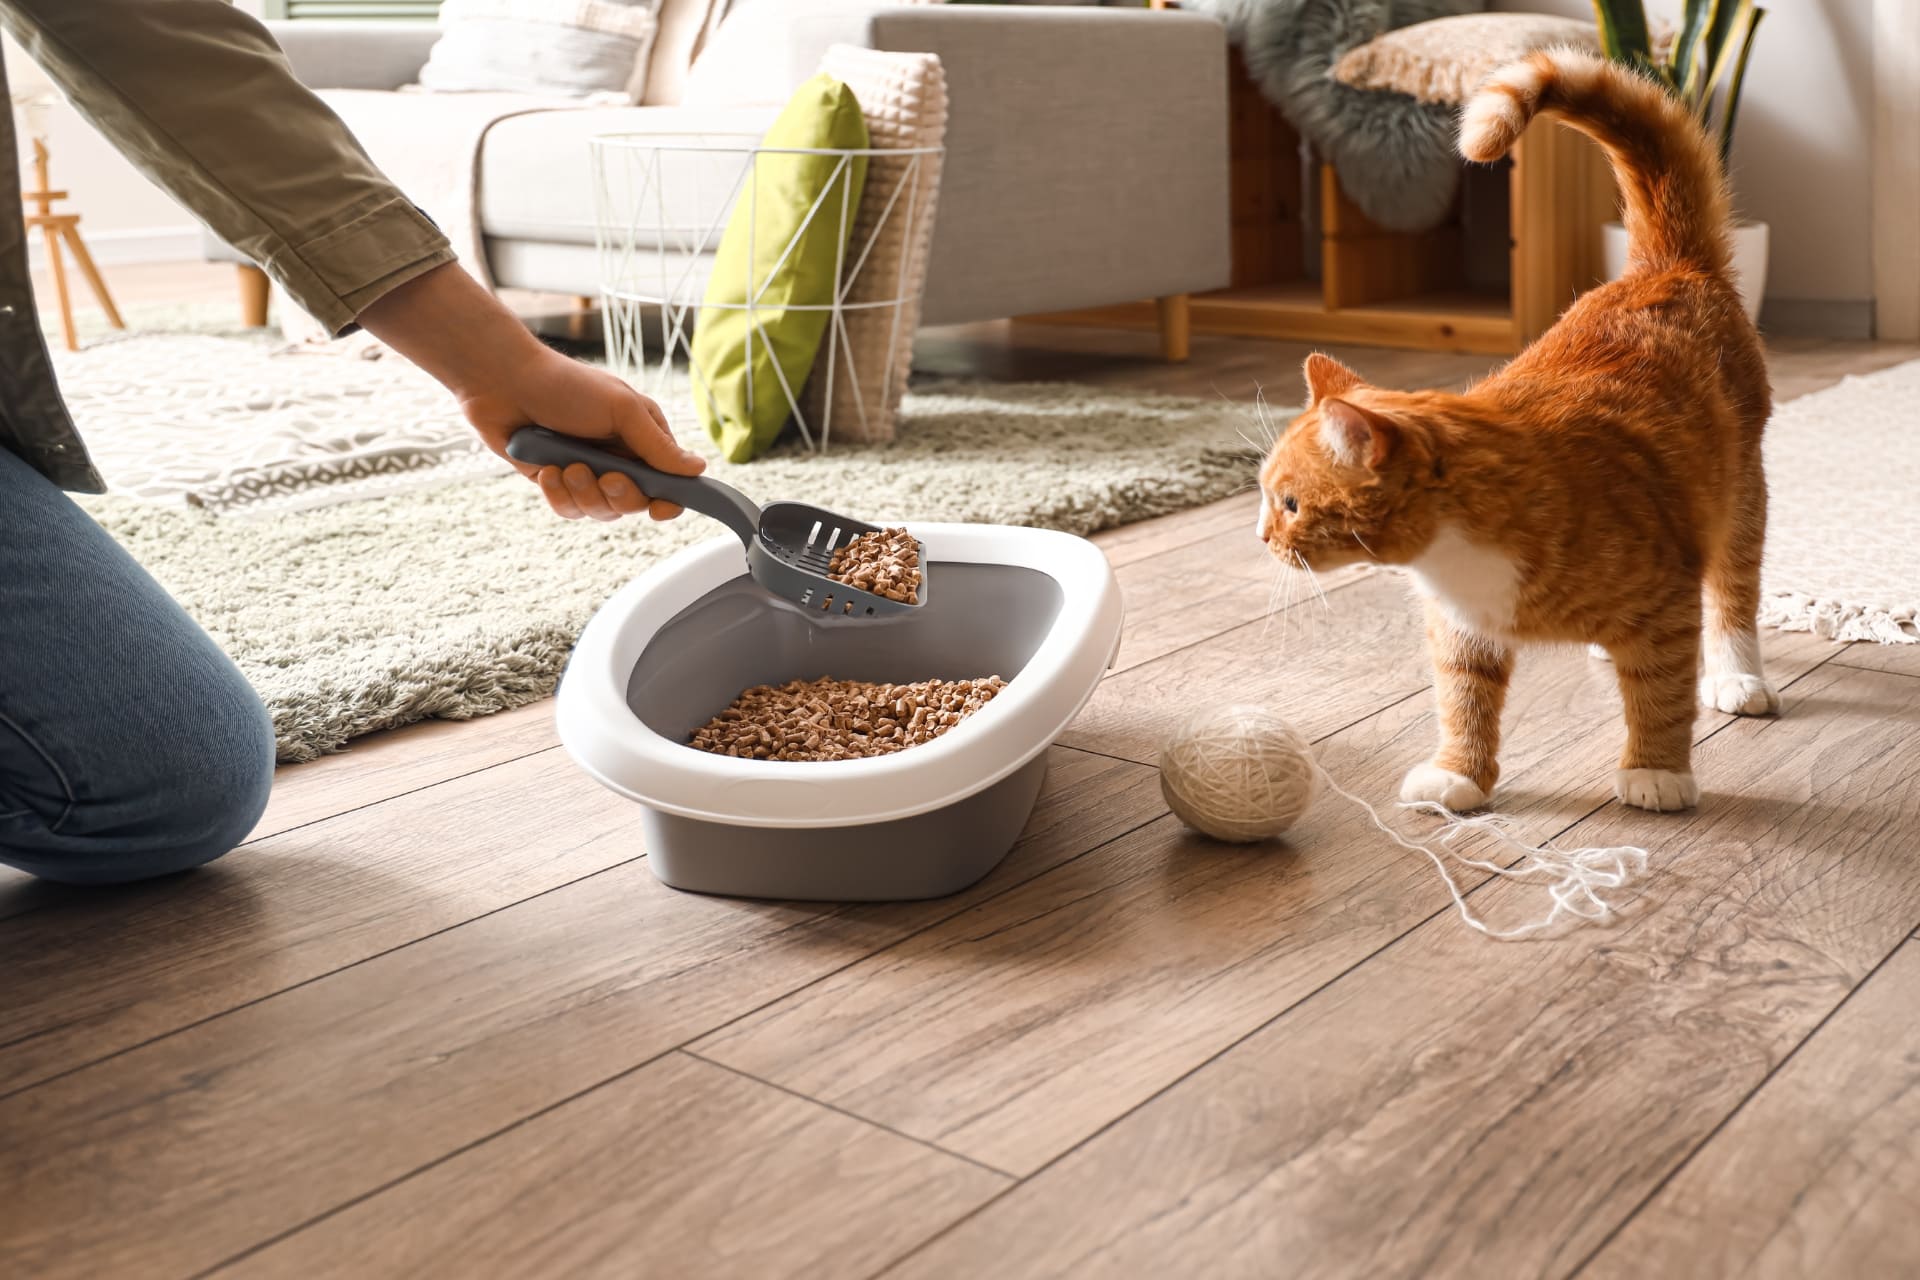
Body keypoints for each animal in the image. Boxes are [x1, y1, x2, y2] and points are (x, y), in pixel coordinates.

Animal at [1259, 52, 1766, 809]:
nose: (1262, 538)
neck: (1452, 555)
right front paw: (1458, 775)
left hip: (1740, 497)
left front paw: (1656, 772)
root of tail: (1666, 266)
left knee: (1733, 594)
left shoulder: (1667, 602)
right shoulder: (1462, 629)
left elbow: (1661, 693)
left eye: (1290, 504)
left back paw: (1738, 676)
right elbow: (1463, 702)